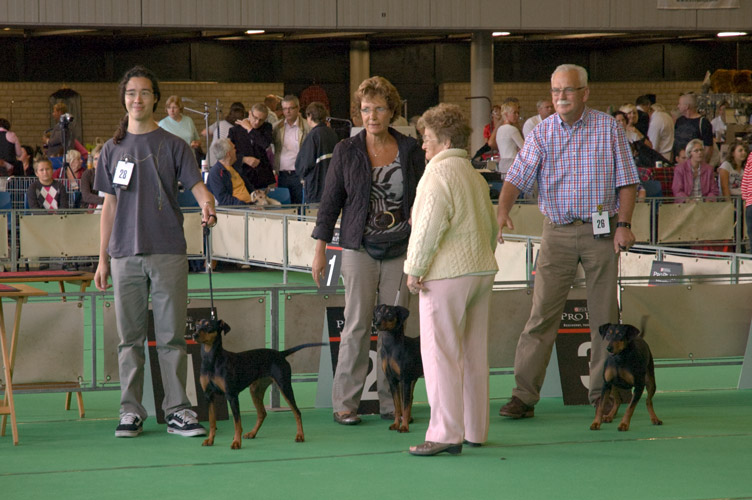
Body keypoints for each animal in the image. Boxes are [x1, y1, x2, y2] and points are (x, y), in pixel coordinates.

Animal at [191, 318, 324, 452]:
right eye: (197, 325)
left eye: (209, 326)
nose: (194, 335)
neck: (211, 360)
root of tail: (280, 354)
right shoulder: (209, 396)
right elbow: (212, 421)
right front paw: (210, 440)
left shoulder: (231, 395)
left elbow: (237, 422)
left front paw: (236, 442)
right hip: (255, 390)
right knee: (262, 413)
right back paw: (252, 433)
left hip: (284, 386)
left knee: (297, 412)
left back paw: (300, 435)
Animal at [374, 302, 424, 432]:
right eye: (379, 313)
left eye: (390, 314)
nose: (376, 323)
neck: (390, 347)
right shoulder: (393, 381)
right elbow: (398, 406)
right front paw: (396, 424)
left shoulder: (404, 380)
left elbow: (404, 406)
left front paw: (404, 427)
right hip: (413, 379)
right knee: (411, 398)